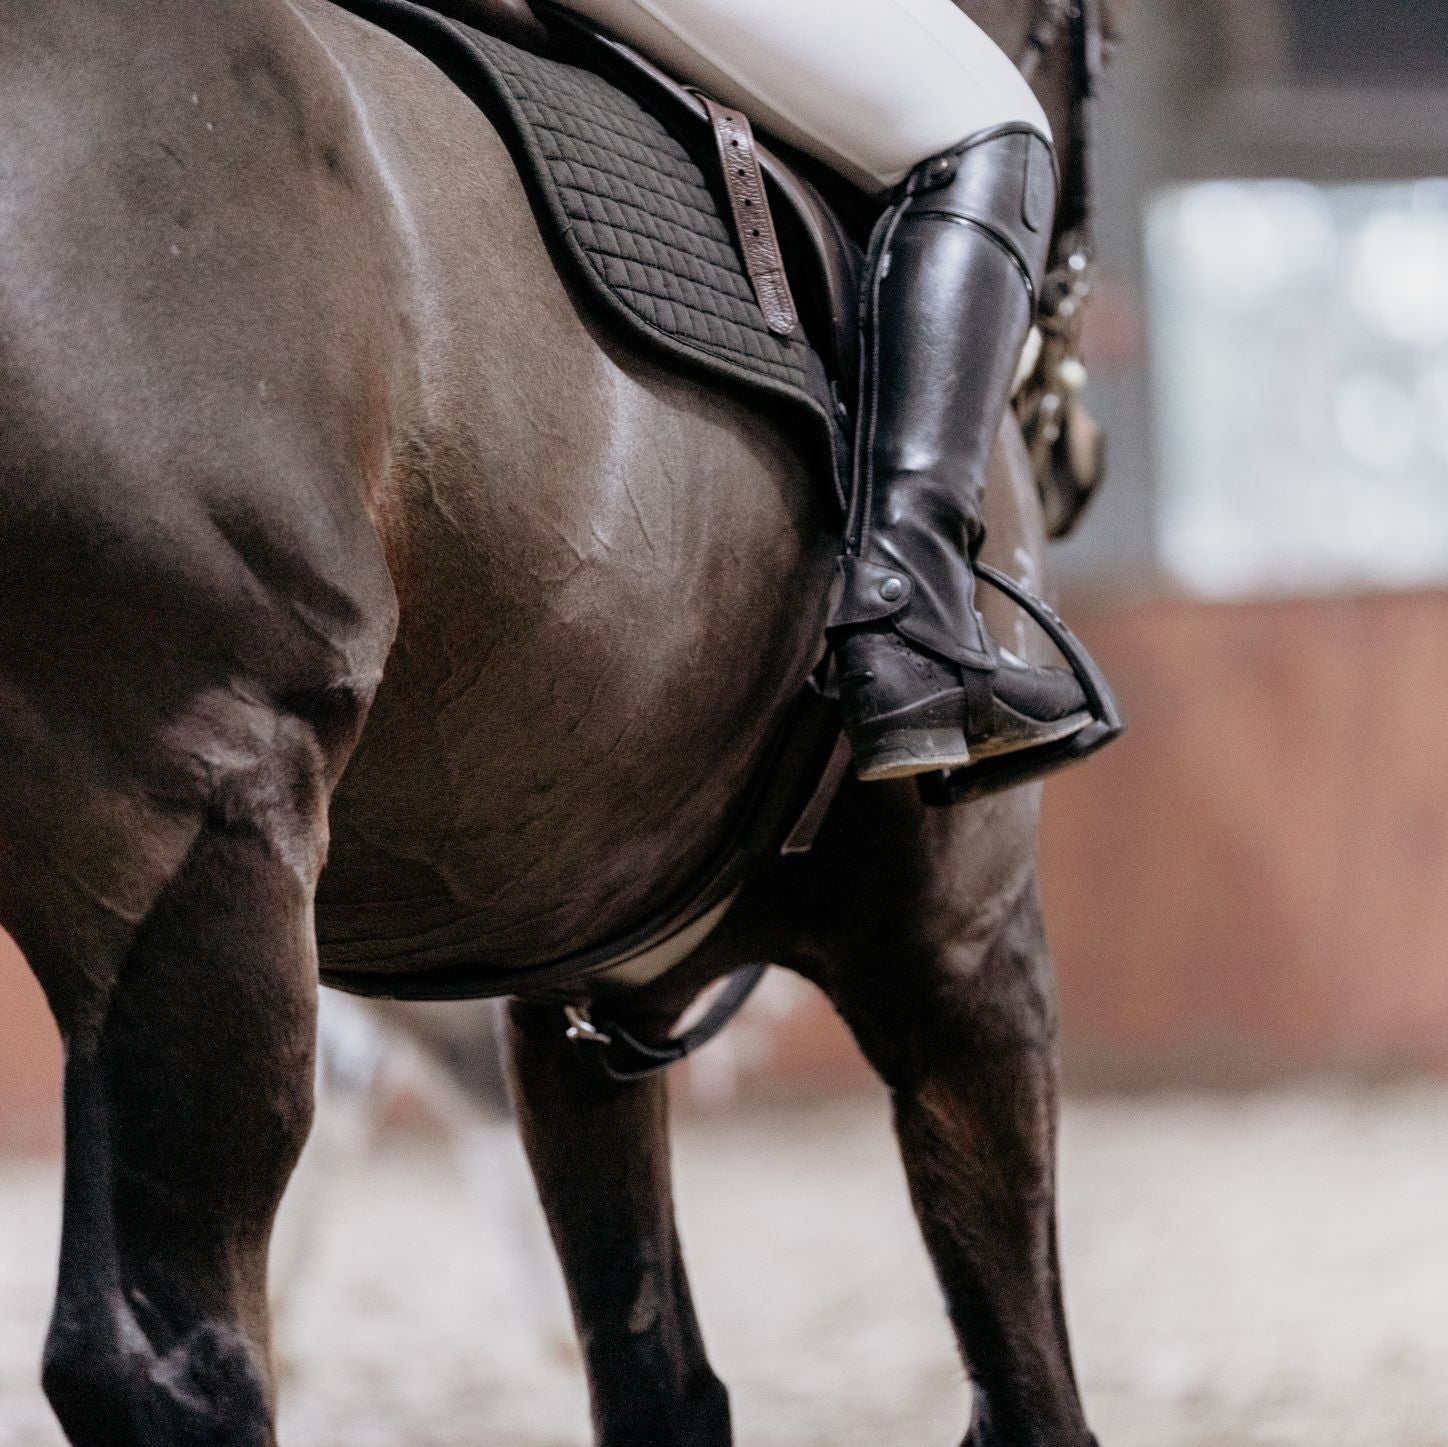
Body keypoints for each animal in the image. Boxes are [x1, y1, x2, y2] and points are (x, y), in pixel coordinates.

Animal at [0, 0, 1108, 1442]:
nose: (1079, 454)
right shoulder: (965, 940)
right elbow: (1031, 1394)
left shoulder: (584, 998)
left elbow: (655, 1374)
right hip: (197, 821)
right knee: (166, 1357)